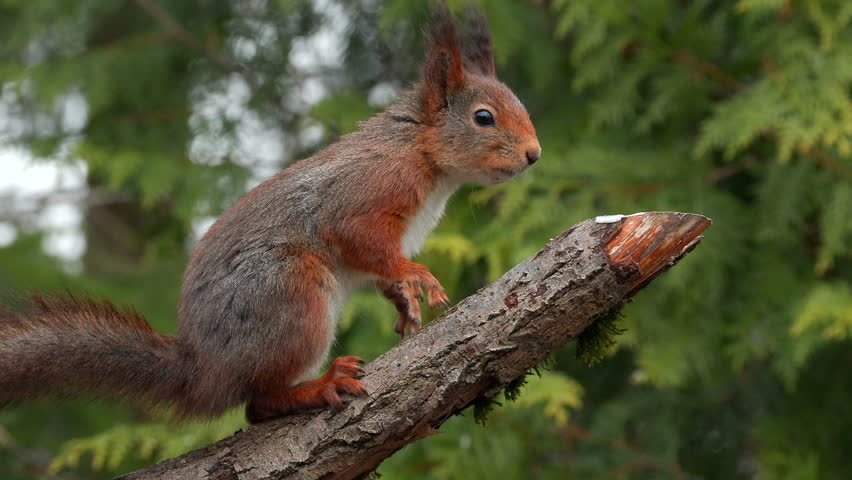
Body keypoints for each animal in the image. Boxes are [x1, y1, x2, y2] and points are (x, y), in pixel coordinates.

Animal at [0, 3, 540, 424]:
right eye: (483, 118)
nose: (534, 154)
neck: (423, 155)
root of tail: (205, 370)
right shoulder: (368, 190)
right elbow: (360, 238)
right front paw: (417, 277)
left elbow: (377, 268)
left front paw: (404, 301)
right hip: (290, 290)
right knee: (257, 402)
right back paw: (317, 386)